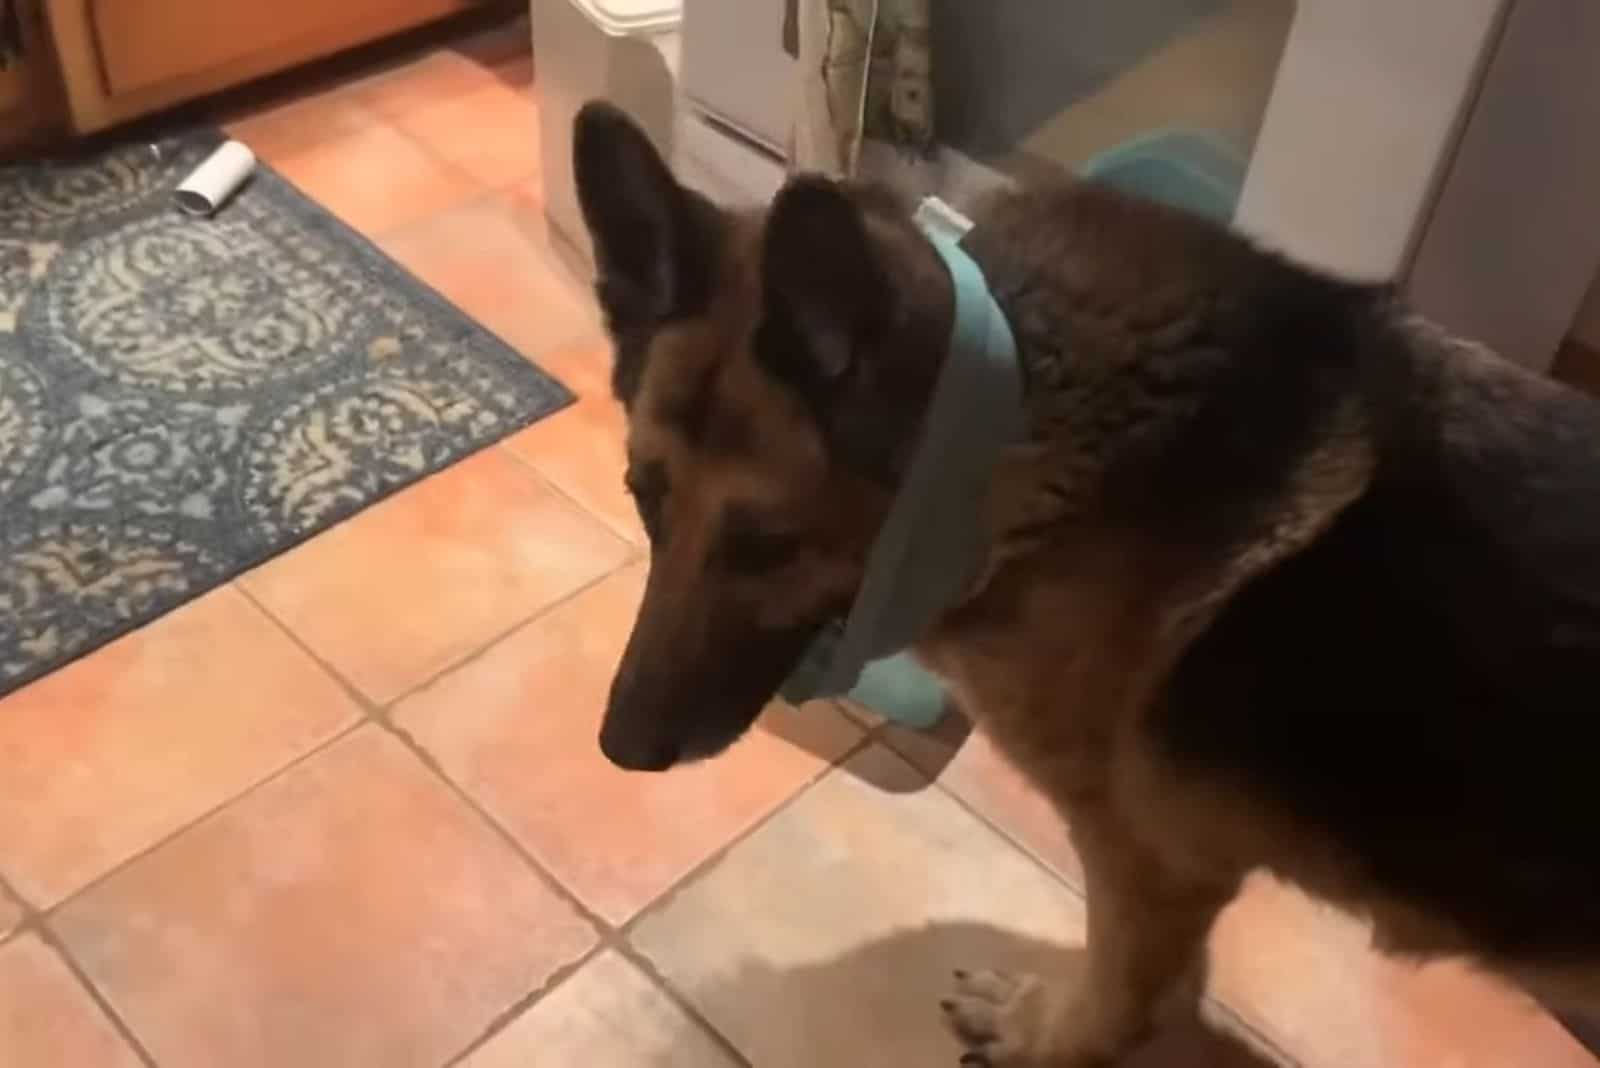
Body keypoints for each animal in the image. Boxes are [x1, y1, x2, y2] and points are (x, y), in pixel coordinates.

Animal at [572, 102, 1600, 1068]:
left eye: (769, 546)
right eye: (644, 501)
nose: (620, 748)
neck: (1007, 436)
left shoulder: (1146, 864)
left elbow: (1117, 986)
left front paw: (1047, 1036)